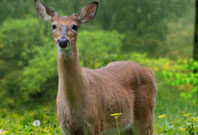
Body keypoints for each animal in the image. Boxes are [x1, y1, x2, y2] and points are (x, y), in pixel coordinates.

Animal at [34, 0, 156, 134]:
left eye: (75, 26)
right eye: (53, 26)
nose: (63, 41)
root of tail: (150, 71)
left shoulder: (95, 124)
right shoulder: (65, 127)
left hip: (146, 115)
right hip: (126, 127)